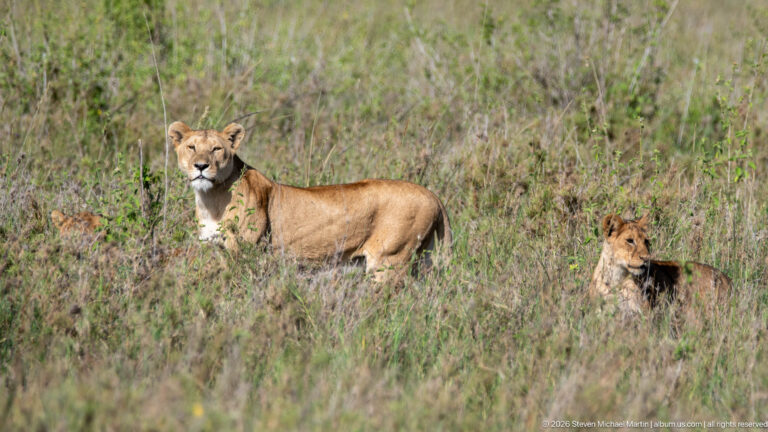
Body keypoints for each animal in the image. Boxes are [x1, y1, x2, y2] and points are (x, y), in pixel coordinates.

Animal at [168, 121, 452, 281]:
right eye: (192, 147)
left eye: (216, 149)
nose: (201, 166)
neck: (210, 199)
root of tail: (433, 195)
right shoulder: (216, 249)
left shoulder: (246, 251)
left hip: (389, 261)